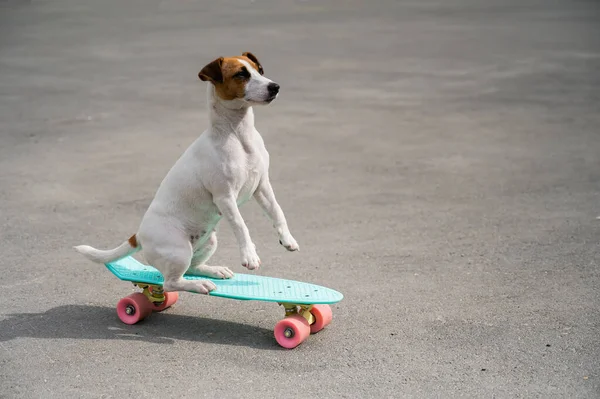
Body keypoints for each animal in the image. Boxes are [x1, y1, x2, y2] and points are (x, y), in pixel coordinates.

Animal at [75, 52, 300, 294]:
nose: (275, 87)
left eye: (259, 70)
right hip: (179, 251)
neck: (239, 136)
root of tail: (139, 235)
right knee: (171, 283)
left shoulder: (262, 187)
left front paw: (288, 239)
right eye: (241, 74)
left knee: (192, 268)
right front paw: (249, 255)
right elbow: (241, 226)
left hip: (208, 242)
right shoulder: (225, 197)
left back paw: (214, 271)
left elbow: (277, 213)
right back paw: (199, 284)